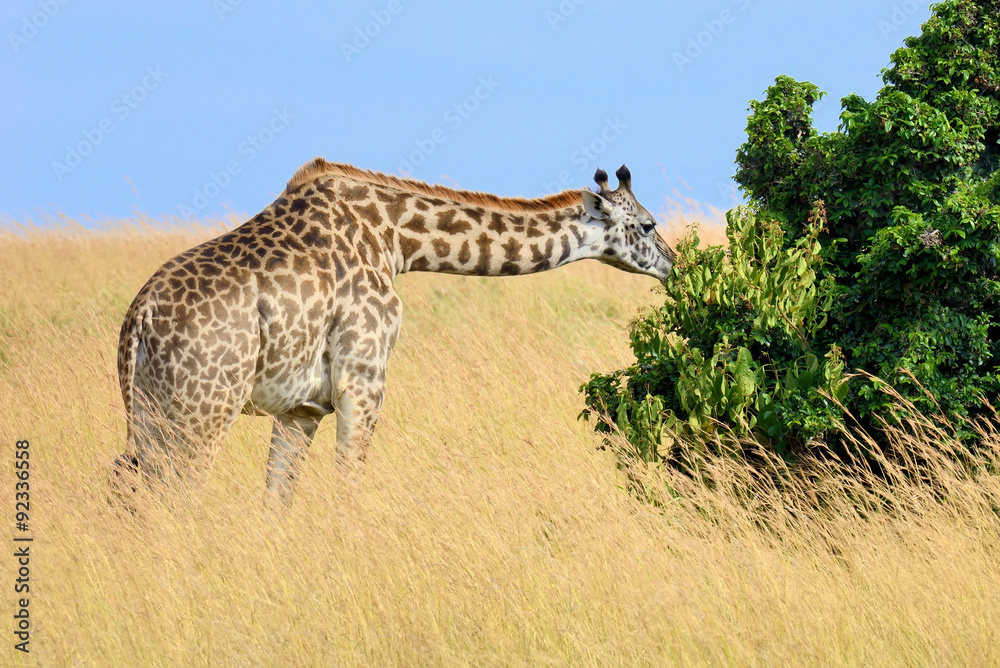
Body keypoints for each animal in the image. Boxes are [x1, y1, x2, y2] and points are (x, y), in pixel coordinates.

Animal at [113, 158, 675, 505]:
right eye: (648, 225)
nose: (675, 264)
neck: (395, 240)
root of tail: (139, 319)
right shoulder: (364, 379)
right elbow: (348, 489)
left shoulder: (302, 406)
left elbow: (277, 500)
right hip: (203, 412)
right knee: (178, 498)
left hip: (149, 412)